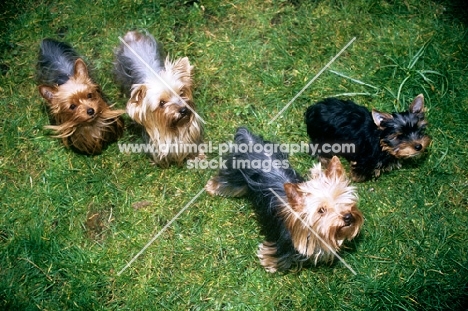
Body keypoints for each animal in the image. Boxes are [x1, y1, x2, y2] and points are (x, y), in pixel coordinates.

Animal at [205, 127, 362, 272]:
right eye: (321, 210)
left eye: (343, 201)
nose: (348, 217)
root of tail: (251, 143)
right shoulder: (283, 244)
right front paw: (269, 264)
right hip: (236, 176)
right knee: (226, 181)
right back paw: (212, 188)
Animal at [304, 95, 432, 183]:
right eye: (400, 136)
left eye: (419, 130)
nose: (419, 146)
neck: (381, 142)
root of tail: (312, 109)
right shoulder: (364, 159)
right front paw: (357, 178)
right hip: (323, 138)